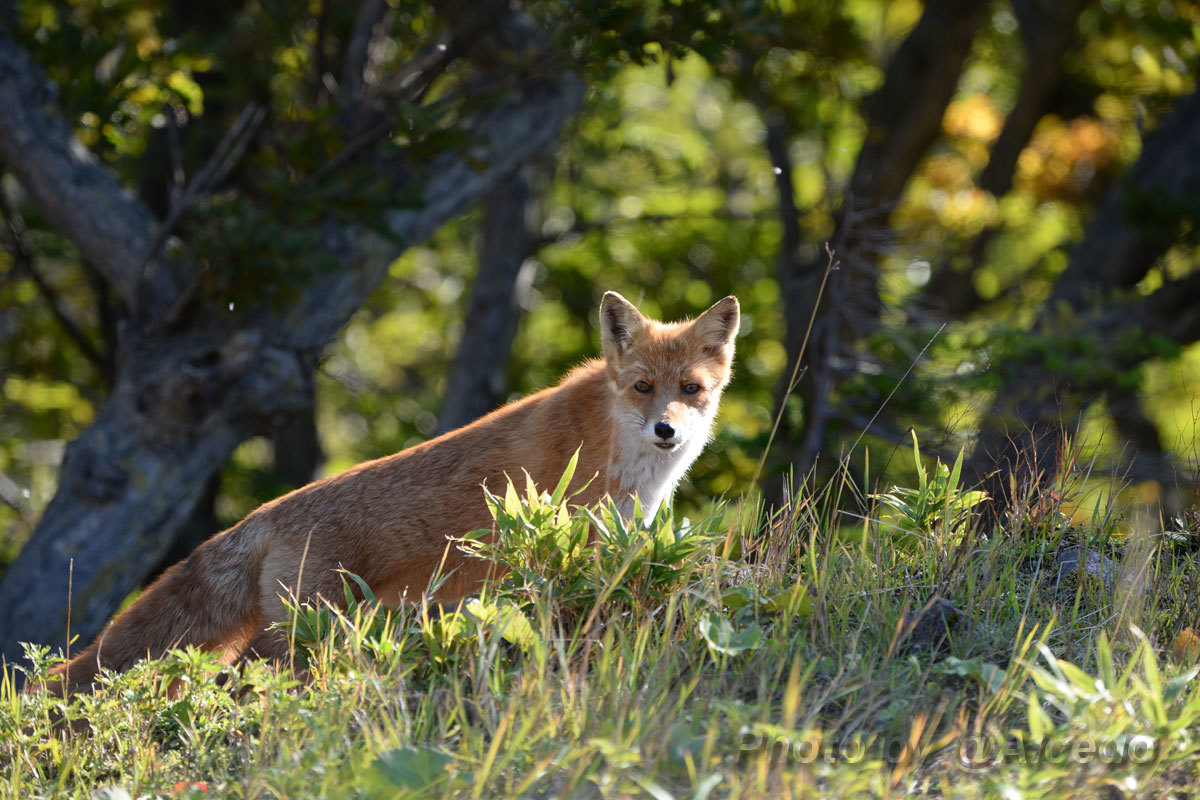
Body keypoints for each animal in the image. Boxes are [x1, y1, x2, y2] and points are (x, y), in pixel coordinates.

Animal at [42, 292, 734, 695]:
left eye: (691, 389)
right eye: (643, 387)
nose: (667, 430)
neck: (625, 456)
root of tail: (263, 514)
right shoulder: (572, 538)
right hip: (305, 634)